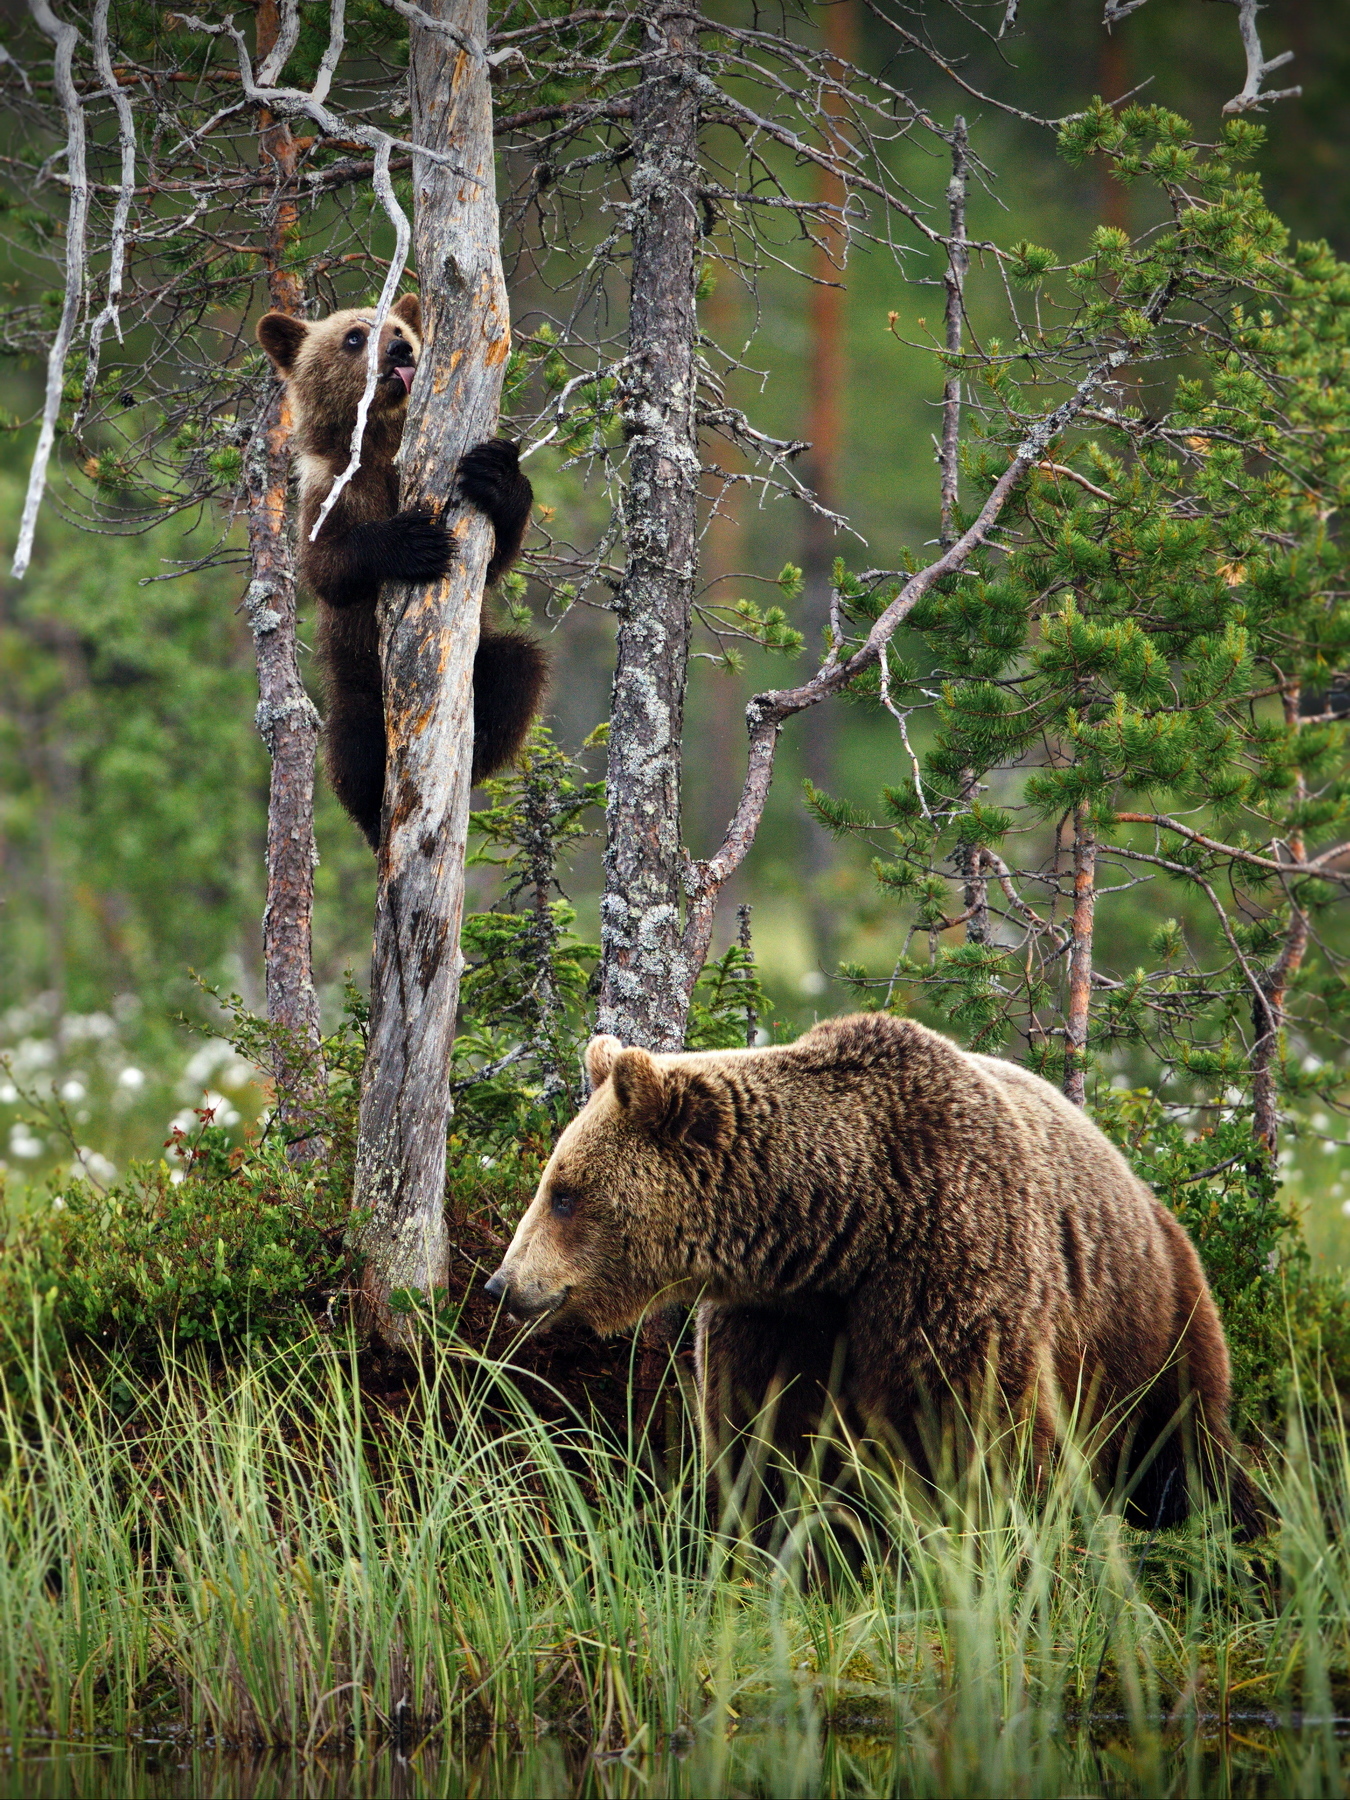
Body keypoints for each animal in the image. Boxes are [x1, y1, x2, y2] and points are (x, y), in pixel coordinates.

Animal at [489, 1015, 1267, 1533]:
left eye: (564, 1193)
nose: (503, 1283)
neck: (847, 1224)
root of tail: (1147, 1191)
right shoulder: (776, 1317)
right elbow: (766, 1443)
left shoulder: (950, 1263)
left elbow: (980, 1429)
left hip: (1149, 1324)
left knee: (1183, 1443)